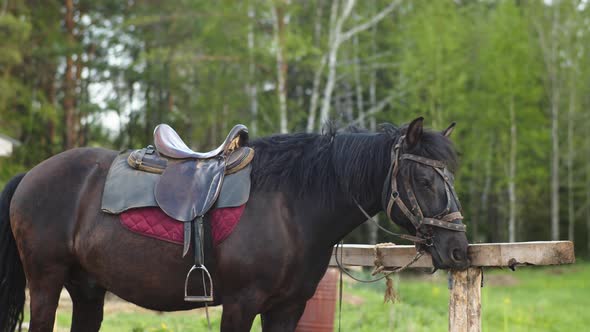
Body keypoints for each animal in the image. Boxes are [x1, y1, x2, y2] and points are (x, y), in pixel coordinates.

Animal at [0, 118, 472, 330]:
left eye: (451, 178)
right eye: (425, 180)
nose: (459, 250)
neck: (291, 205)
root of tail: (31, 176)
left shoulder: (287, 309)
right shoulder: (241, 303)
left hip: (87, 290)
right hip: (46, 283)